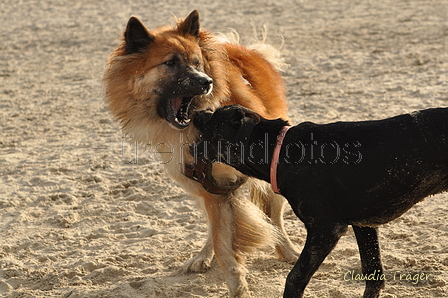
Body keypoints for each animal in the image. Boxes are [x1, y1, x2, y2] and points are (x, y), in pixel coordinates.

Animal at [103, 10, 300, 296]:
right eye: (170, 63)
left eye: (197, 63)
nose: (206, 82)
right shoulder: (210, 186)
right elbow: (220, 239)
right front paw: (235, 280)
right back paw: (203, 256)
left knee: (273, 217)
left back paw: (287, 250)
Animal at [191, 104, 448, 296]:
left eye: (215, 117)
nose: (195, 112)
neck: (281, 151)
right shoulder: (363, 225)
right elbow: (373, 276)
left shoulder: (325, 231)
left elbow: (294, 279)